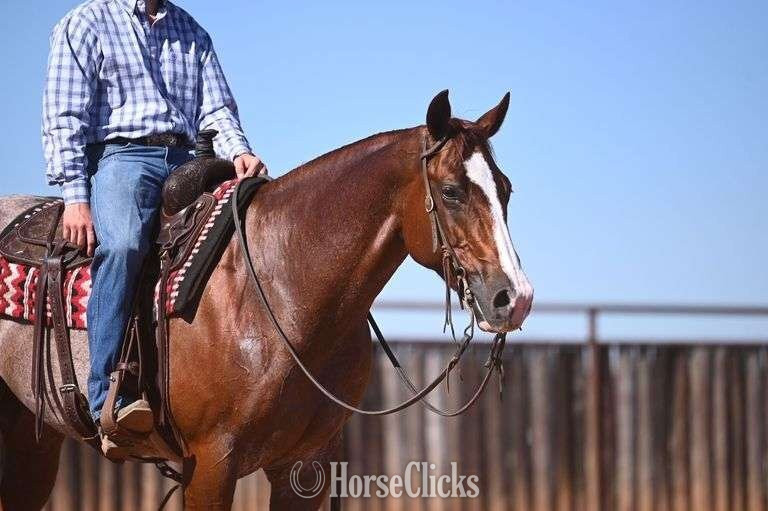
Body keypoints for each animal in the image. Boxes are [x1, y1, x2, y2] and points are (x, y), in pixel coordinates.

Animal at [0, 90, 533, 510]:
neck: (280, 294)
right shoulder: (210, 465)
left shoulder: (305, 465)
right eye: (452, 191)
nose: (516, 298)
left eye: (506, 189)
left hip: (33, 446)